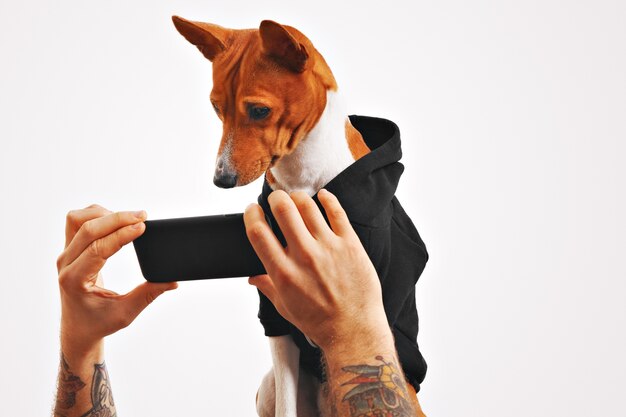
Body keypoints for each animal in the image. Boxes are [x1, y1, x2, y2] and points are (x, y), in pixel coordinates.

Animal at [171, 16, 424, 416]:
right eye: (215, 108)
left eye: (259, 110)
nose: (221, 179)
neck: (300, 181)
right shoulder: (277, 322)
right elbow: (286, 407)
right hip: (269, 386)